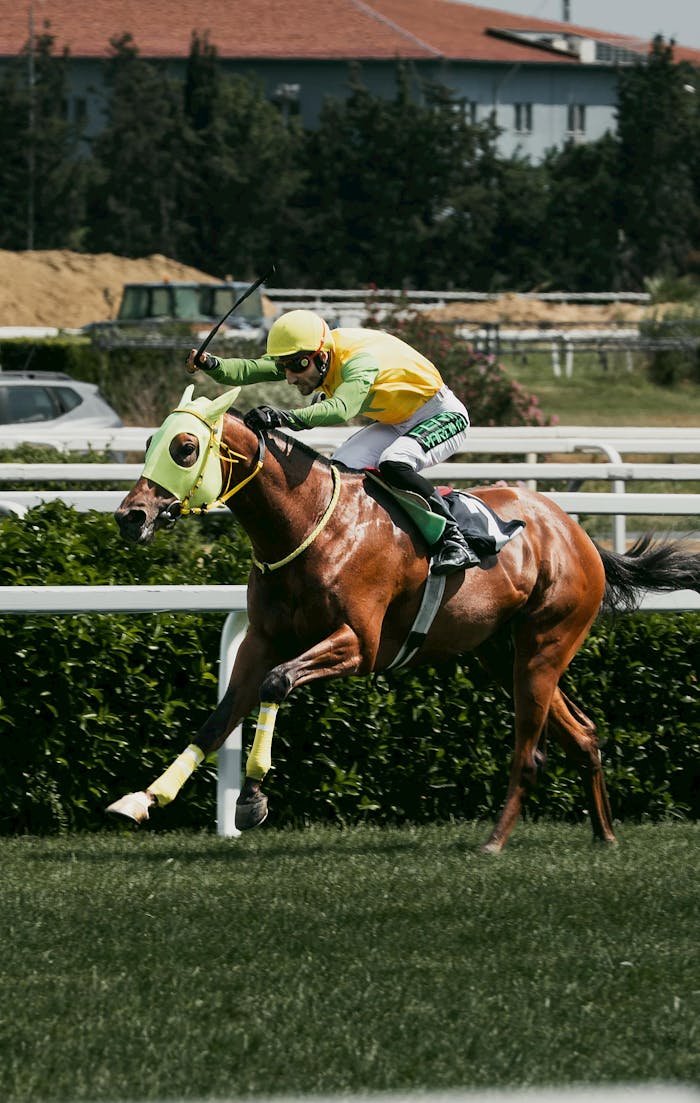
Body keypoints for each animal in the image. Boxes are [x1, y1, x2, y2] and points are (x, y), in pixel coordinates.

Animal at [108, 385, 700, 851]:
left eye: (185, 448)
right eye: (150, 443)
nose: (130, 517)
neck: (311, 525)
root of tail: (577, 534)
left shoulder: (358, 643)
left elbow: (277, 684)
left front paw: (252, 795)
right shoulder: (261, 639)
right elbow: (219, 718)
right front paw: (144, 798)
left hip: (544, 647)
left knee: (532, 753)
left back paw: (494, 841)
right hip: (503, 655)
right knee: (584, 734)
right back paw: (605, 834)